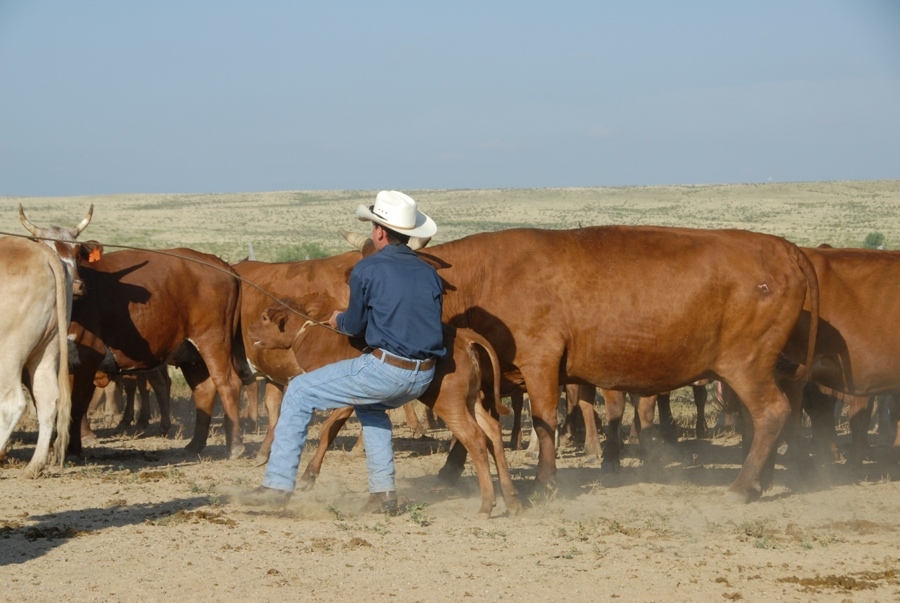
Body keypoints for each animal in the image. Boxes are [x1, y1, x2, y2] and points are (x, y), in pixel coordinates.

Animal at [0, 236, 73, 476]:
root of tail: (43, 252)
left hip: (8, 351)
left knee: (12, 402)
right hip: (48, 348)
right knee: (47, 398)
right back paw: (35, 465)